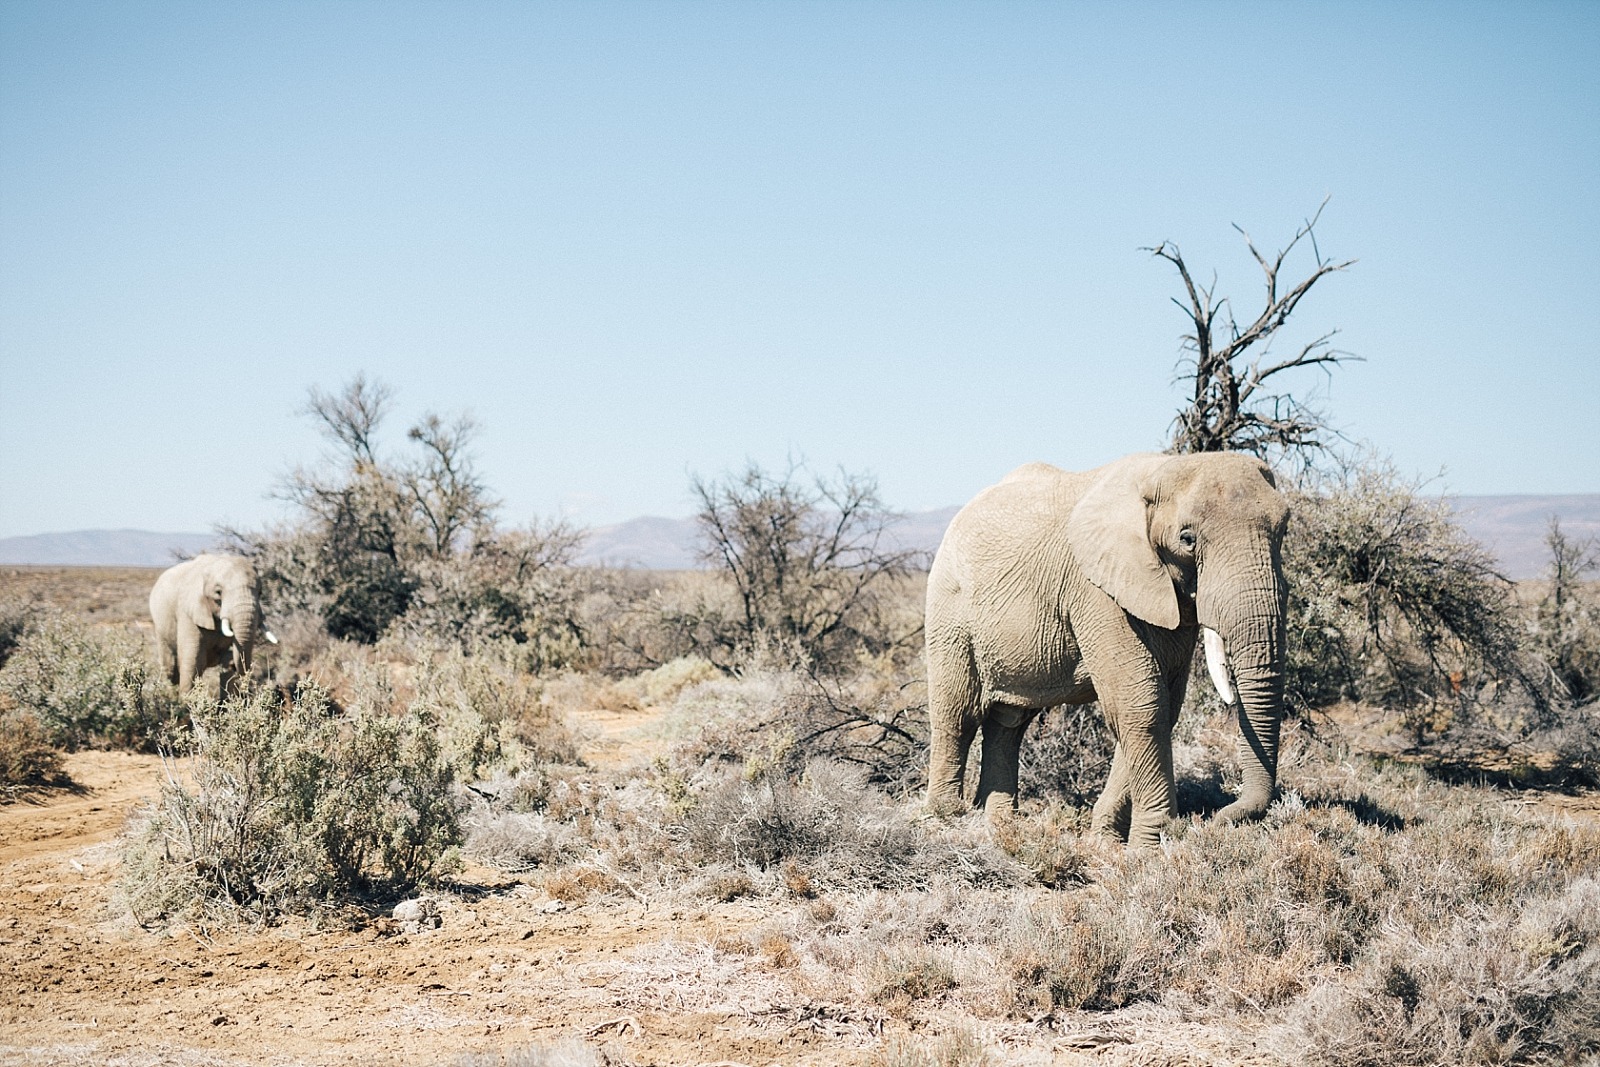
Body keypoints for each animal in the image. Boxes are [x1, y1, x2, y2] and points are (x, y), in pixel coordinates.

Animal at [148, 556, 276, 697]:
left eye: (260, 592)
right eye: (218, 592)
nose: (245, 692)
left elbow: (228, 660)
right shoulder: (188, 612)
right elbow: (193, 661)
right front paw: (187, 702)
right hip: (160, 626)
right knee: (170, 667)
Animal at [928, 454, 1286, 851]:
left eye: (1283, 530)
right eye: (1187, 539)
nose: (1221, 817)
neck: (1162, 470)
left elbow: (1163, 704)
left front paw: (1107, 843)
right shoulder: (1094, 589)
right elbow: (1141, 702)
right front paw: (1149, 849)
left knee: (1008, 721)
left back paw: (1001, 824)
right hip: (950, 609)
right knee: (957, 713)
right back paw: (945, 818)